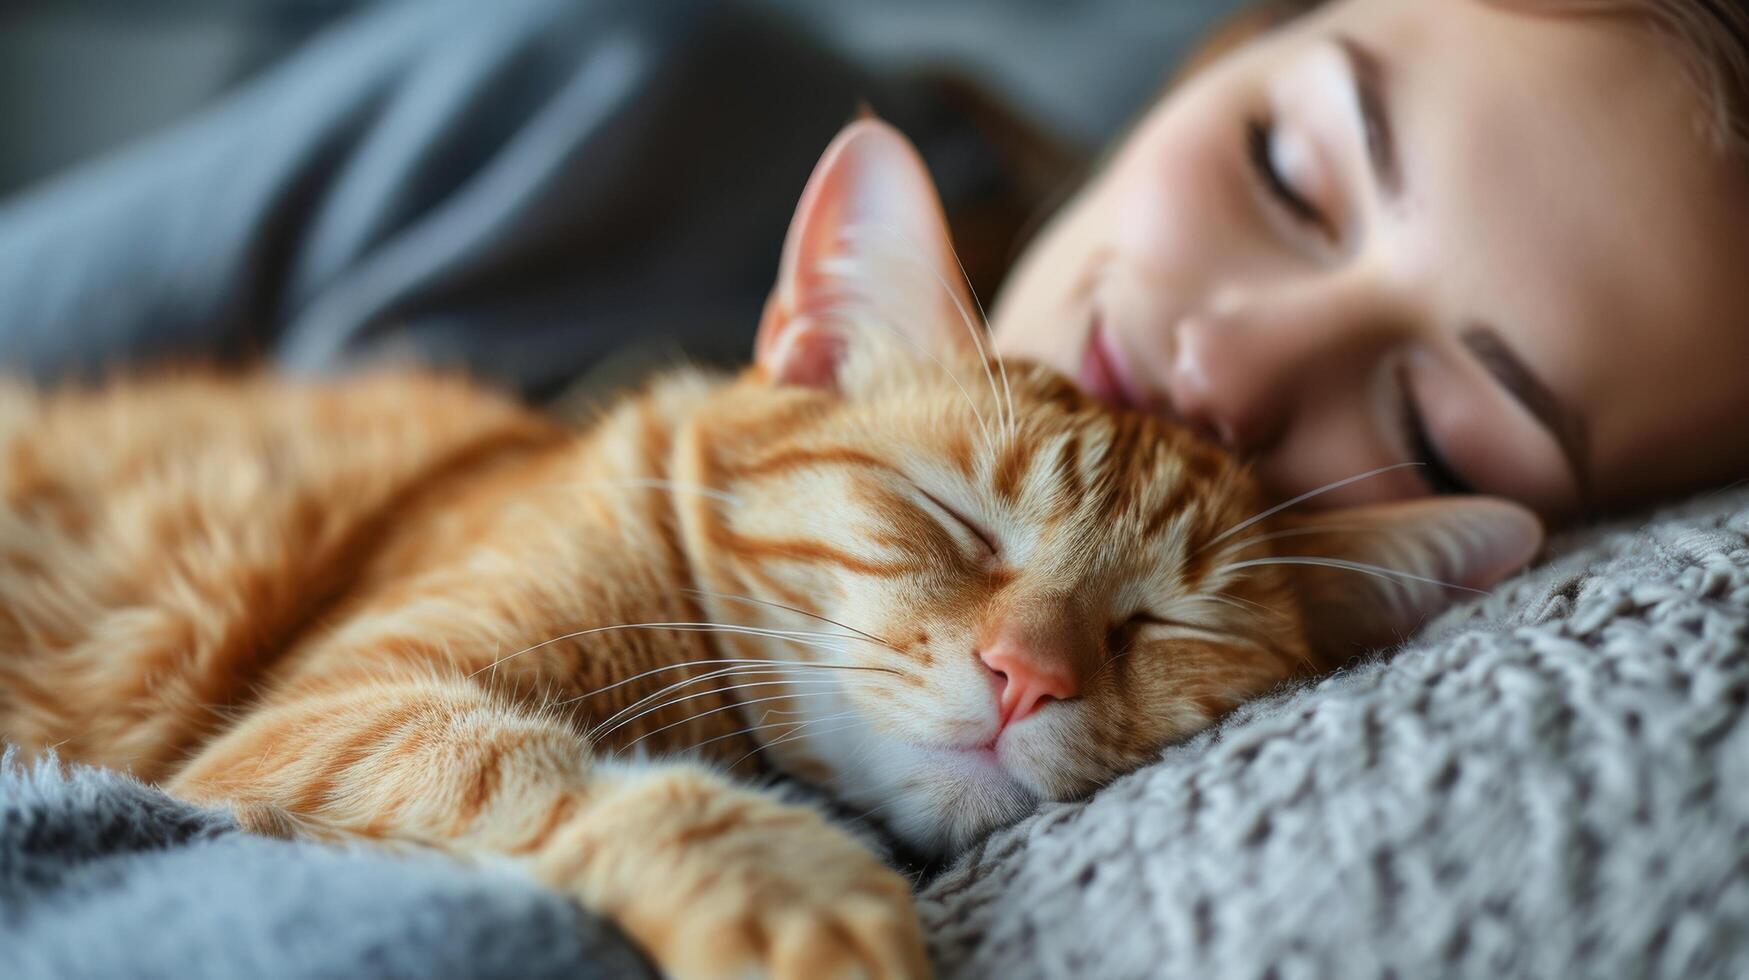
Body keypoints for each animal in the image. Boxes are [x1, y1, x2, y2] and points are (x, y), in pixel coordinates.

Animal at [0, 124, 1532, 980]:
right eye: (953, 520)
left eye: (1165, 627)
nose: (1028, 675)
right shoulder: (327, 711)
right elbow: (531, 764)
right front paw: (795, 893)